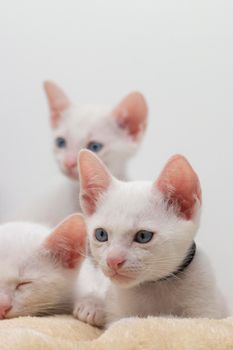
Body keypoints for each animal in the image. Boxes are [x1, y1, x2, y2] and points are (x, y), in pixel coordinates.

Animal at [77, 149, 227, 324]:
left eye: (143, 236)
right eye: (101, 234)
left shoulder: (206, 311)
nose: (113, 261)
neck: (155, 284)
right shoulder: (117, 313)